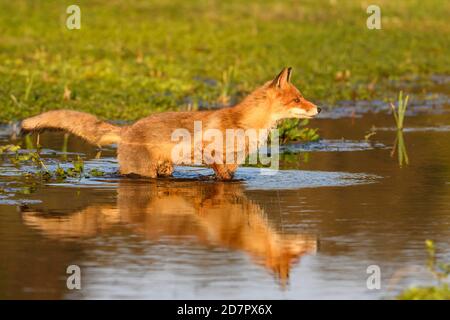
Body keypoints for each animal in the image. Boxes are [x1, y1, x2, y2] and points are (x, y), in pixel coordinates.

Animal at [21, 67, 320, 180]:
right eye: (297, 99)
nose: (318, 108)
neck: (245, 125)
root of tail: (127, 127)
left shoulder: (235, 161)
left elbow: (229, 175)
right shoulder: (207, 151)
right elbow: (220, 175)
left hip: (165, 169)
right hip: (144, 173)